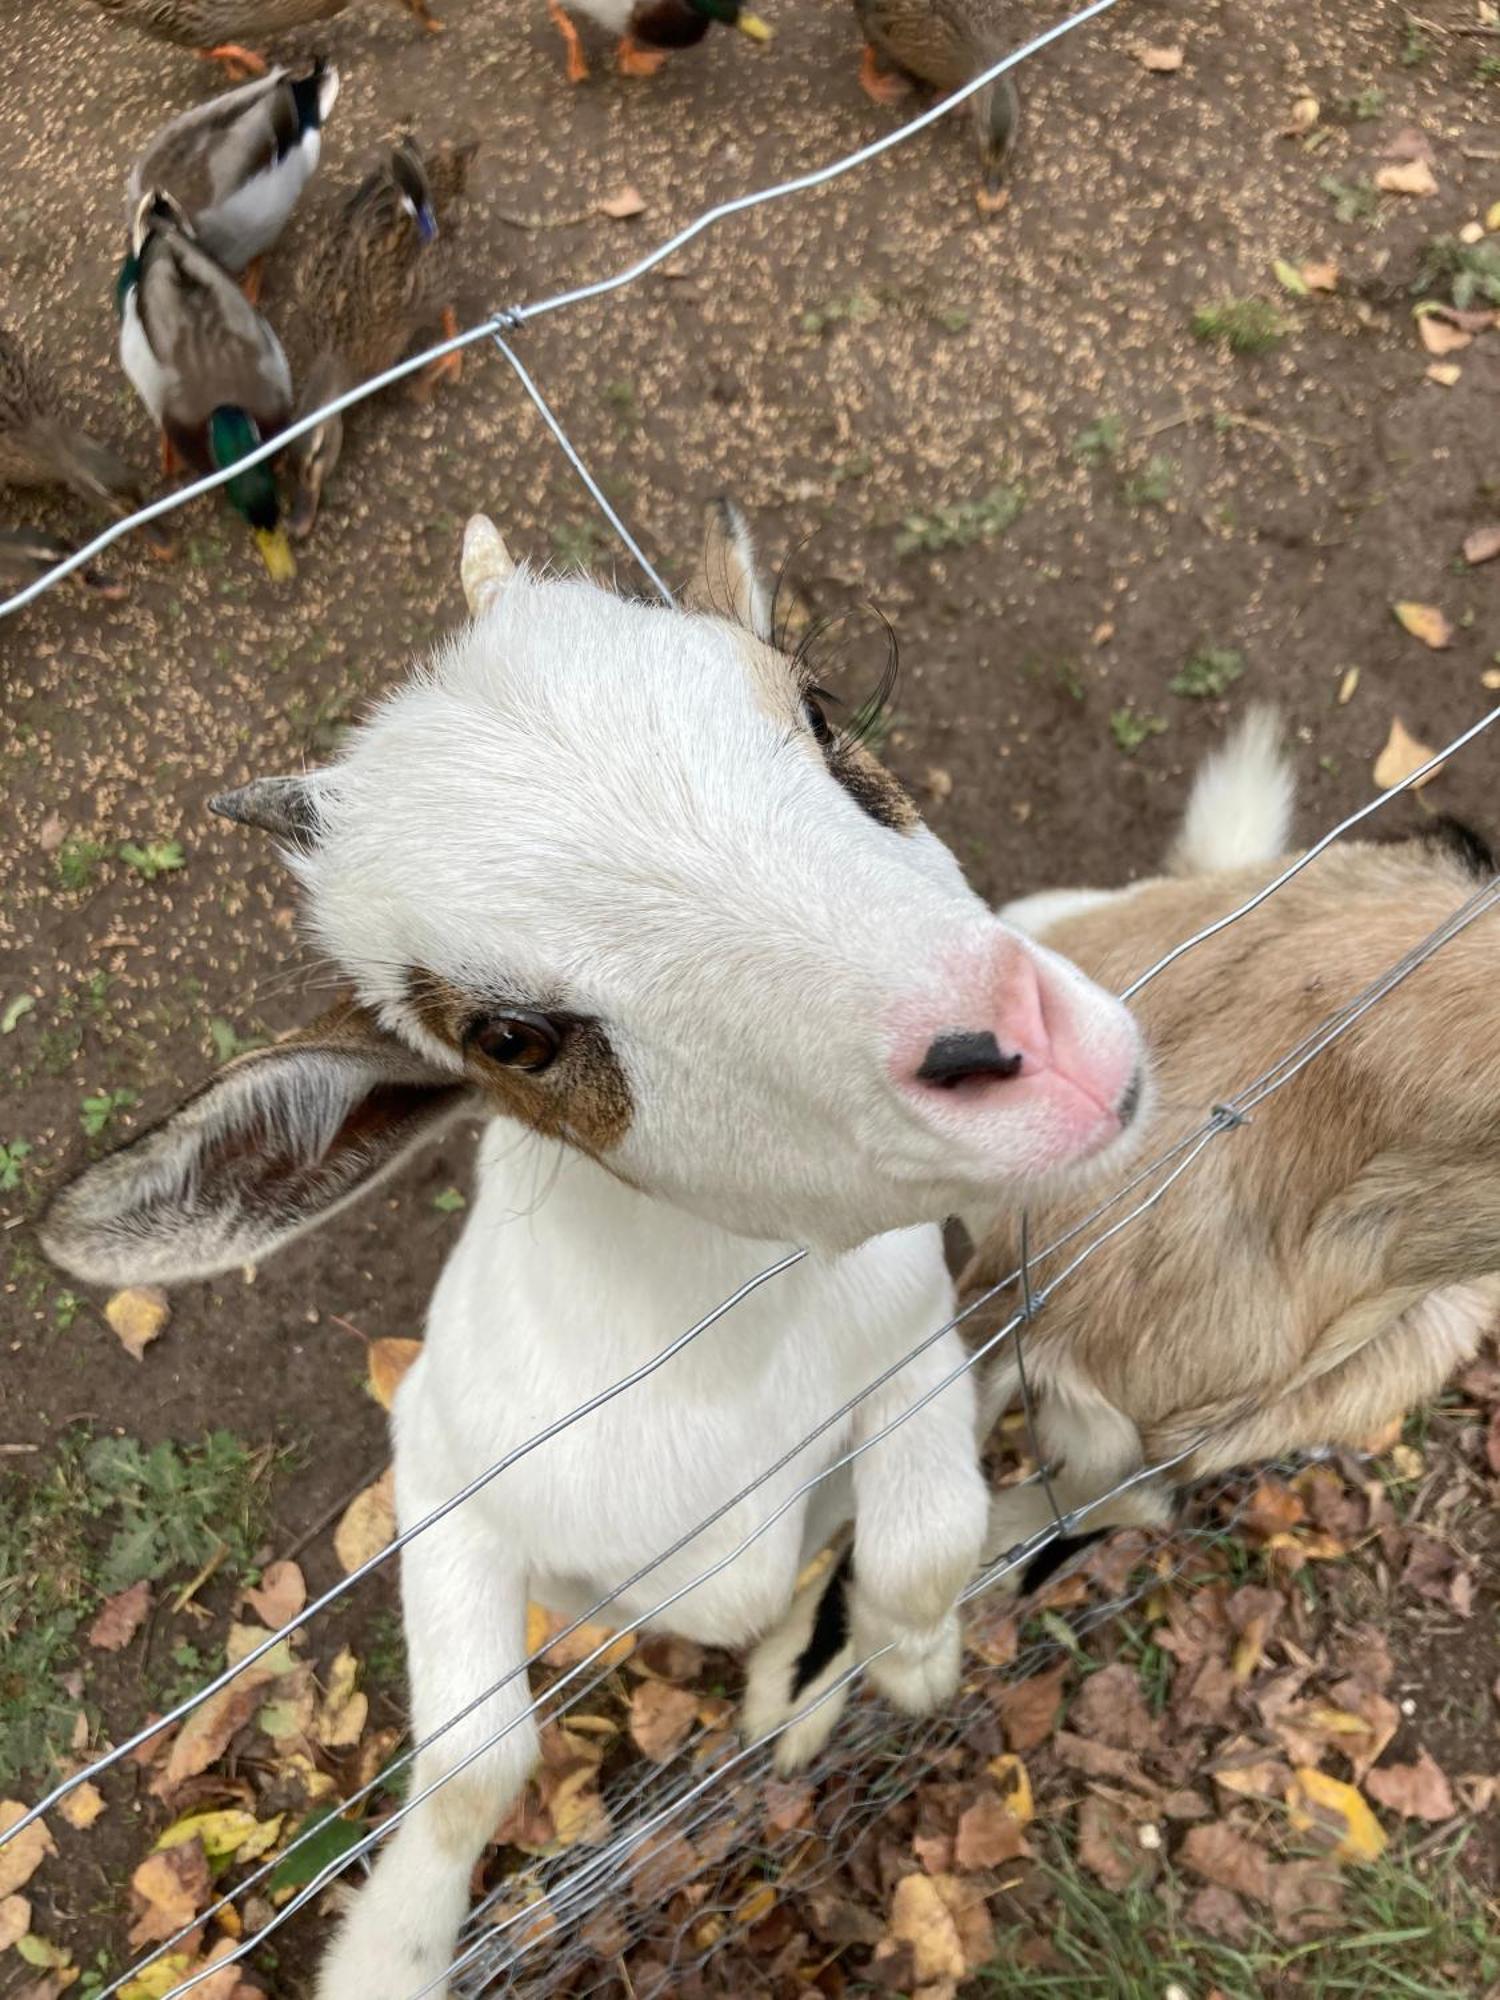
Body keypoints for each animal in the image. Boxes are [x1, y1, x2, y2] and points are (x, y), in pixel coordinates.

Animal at [41, 504, 1144, 2000]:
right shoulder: (439, 1474)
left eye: (819, 708)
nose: (1032, 1055)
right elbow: (473, 1762)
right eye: (508, 1036)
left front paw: (902, 1668)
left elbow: (924, 1536)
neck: (713, 1365)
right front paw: (389, 1954)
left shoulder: (910, 1338)